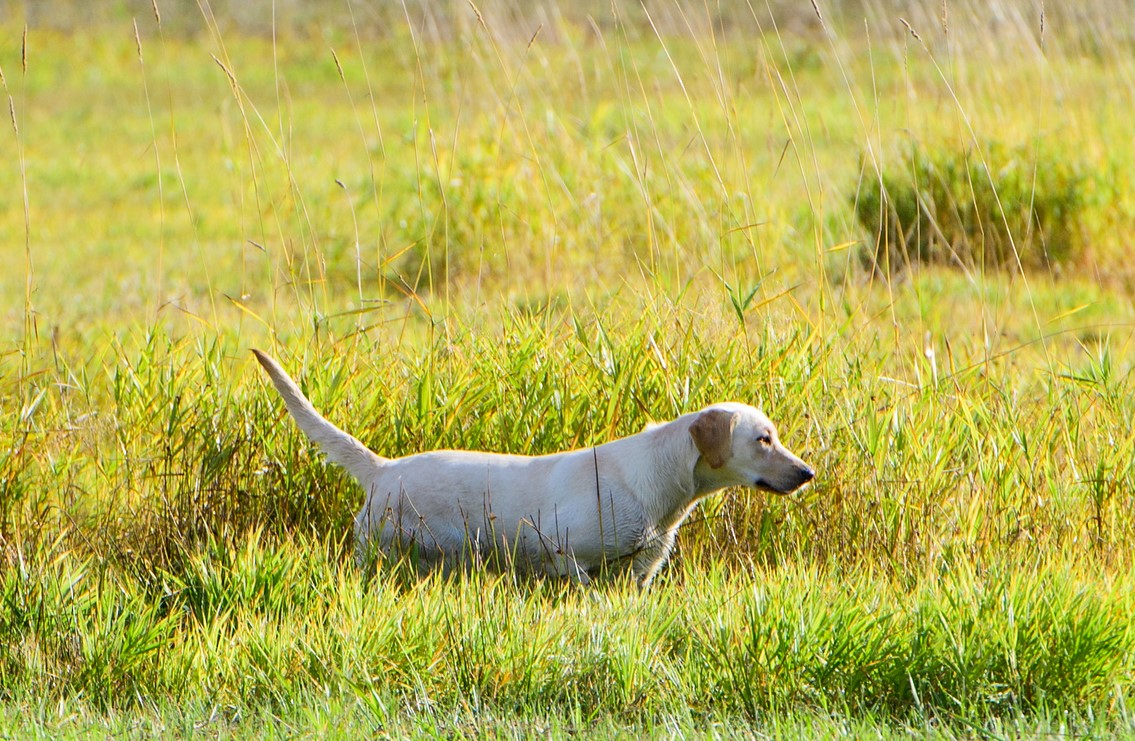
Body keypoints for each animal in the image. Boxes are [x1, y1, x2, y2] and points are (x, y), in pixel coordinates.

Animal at [253, 349, 812, 585]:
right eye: (763, 439)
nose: (807, 474)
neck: (659, 487)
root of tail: (382, 468)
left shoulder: (636, 575)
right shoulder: (566, 554)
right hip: (379, 553)